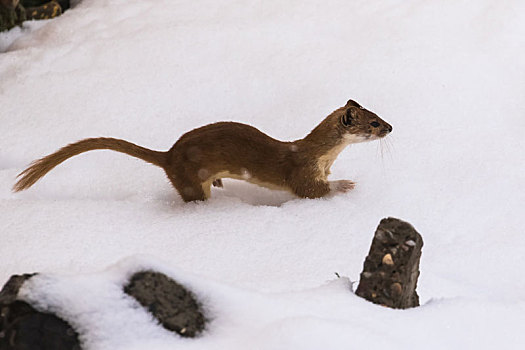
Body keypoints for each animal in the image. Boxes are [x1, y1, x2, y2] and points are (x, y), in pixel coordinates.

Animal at [12, 100, 390, 201]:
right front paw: (346, 184)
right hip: (192, 180)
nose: (391, 127)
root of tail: (167, 154)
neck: (323, 157)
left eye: (379, 114)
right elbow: (310, 191)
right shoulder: (302, 172)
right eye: (373, 123)